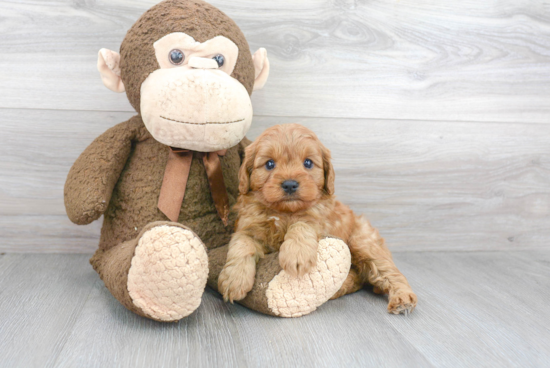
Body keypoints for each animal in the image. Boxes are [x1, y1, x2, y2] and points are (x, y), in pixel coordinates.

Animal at [220, 123, 418, 314]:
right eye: (269, 164)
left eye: (308, 163)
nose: (290, 184)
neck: (284, 212)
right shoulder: (248, 227)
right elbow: (242, 245)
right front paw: (234, 279)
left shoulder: (320, 219)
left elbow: (302, 224)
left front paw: (296, 255)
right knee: (357, 277)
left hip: (364, 243)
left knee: (388, 272)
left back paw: (402, 298)